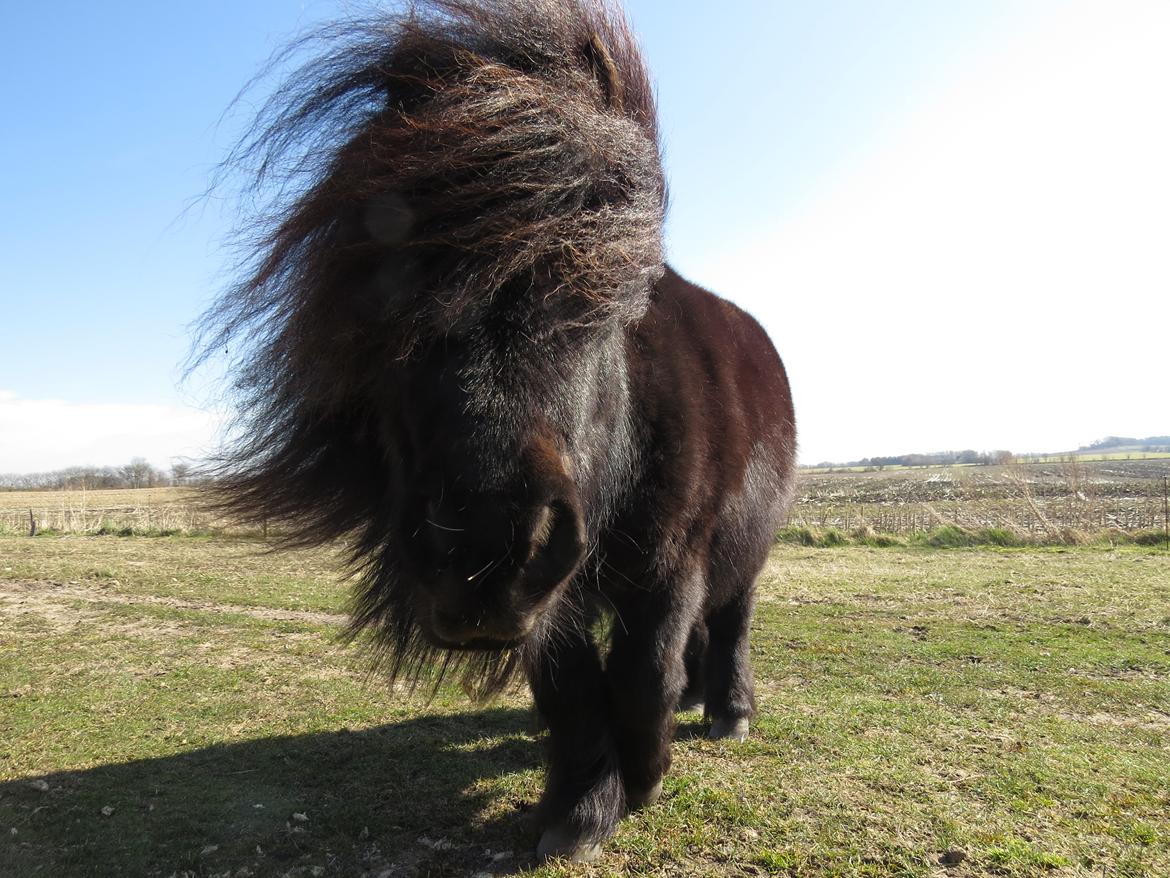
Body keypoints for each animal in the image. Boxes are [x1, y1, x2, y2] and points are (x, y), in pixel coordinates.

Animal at [198, 0, 795, 866]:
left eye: (596, 294)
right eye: (390, 286)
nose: (480, 544)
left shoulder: (670, 563)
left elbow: (642, 675)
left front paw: (642, 778)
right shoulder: (552, 601)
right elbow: (575, 692)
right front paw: (581, 809)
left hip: (742, 552)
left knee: (731, 621)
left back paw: (727, 712)